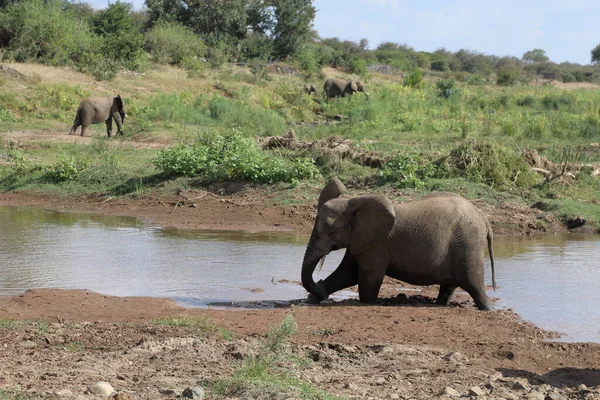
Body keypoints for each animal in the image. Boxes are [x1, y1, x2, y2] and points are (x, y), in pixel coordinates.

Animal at [304, 179, 496, 312]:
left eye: (331, 231)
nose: (317, 288)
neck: (352, 201)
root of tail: (484, 219)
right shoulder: (360, 239)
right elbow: (347, 274)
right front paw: (314, 297)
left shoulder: (377, 245)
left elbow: (367, 279)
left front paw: (366, 302)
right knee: (450, 286)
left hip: (468, 244)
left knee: (473, 284)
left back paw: (488, 309)